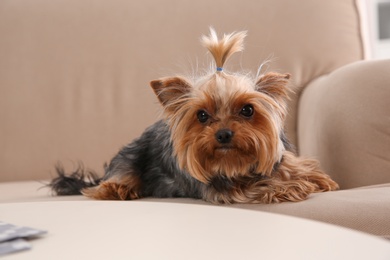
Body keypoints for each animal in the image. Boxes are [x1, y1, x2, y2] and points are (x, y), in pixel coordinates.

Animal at [49, 28, 338, 203]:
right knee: (116, 178)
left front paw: (317, 179)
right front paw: (292, 186)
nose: (223, 134)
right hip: (130, 157)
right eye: (202, 115)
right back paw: (117, 188)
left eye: (247, 110)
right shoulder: (224, 190)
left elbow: (298, 167)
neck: (237, 165)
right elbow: (260, 187)